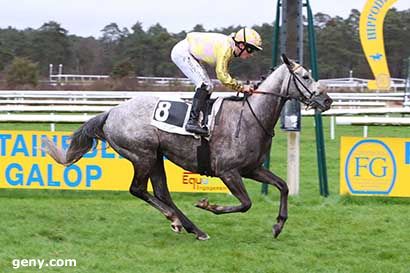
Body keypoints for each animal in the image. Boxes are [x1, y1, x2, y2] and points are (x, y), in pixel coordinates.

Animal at [42, 55, 334, 240]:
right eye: (305, 76)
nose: (328, 100)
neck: (252, 116)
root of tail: (111, 112)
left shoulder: (252, 169)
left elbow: (283, 186)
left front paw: (278, 225)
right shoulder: (228, 171)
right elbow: (245, 203)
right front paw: (209, 205)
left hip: (156, 157)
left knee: (161, 192)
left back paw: (194, 229)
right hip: (142, 154)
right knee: (138, 190)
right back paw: (175, 220)